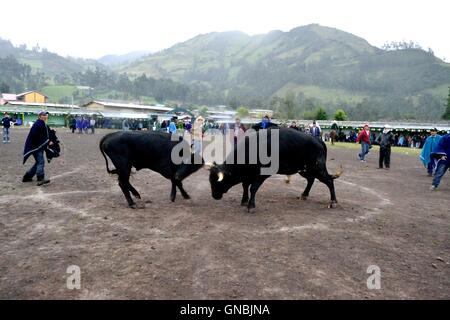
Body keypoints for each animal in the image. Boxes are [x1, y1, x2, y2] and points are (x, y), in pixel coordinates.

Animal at [209, 127, 342, 212]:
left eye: (217, 182)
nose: (214, 196)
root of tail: (318, 140)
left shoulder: (262, 174)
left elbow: (253, 187)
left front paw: (251, 206)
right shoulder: (248, 175)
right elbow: (245, 185)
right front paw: (244, 201)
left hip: (317, 169)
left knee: (329, 181)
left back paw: (333, 202)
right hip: (305, 170)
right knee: (311, 180)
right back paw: (304, 195)